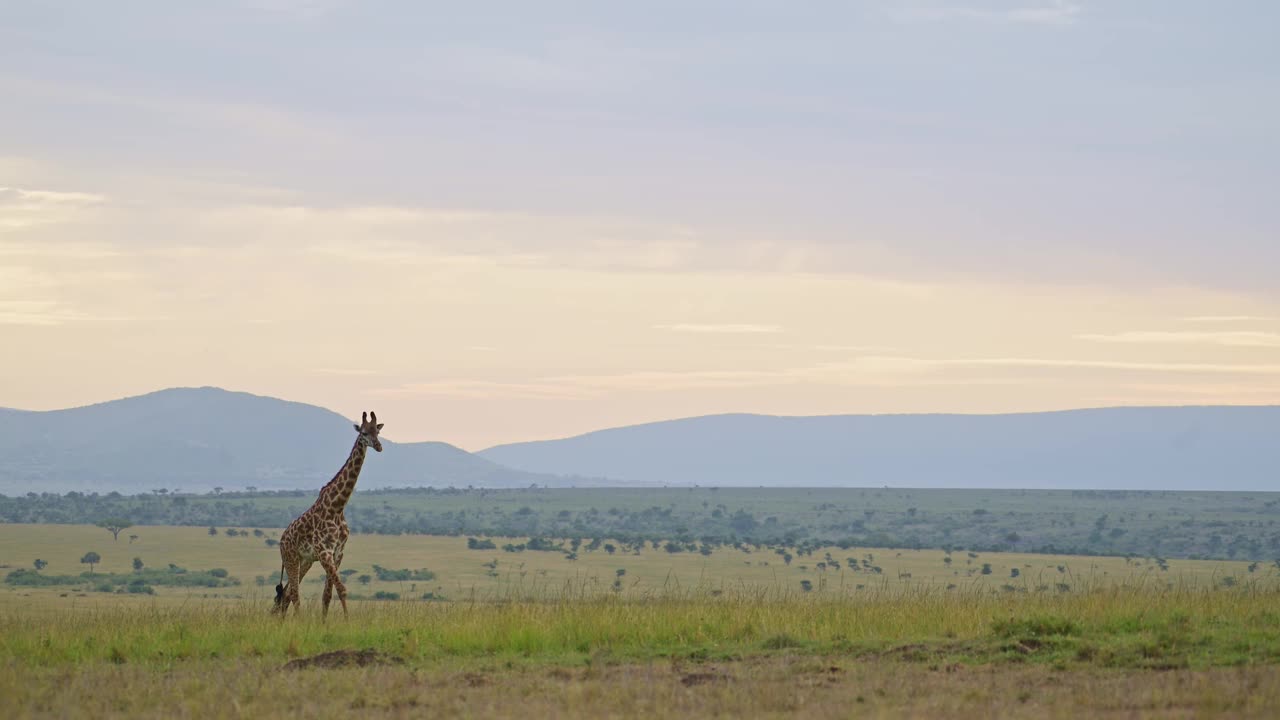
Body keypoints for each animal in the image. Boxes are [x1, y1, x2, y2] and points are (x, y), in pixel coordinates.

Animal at [272, 409, 381, 617]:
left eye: (377, 432)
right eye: (364, 432)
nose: (379, 446)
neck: (337, 507)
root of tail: (281, 541)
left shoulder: (338, 552)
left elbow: (328, 595)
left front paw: (325, 622)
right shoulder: (324, 552)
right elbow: (341, 589)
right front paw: (347, 621)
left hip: (305, 560)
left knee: (287, 593)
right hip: (291, 558)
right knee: (293, 593)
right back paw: (296, 621)